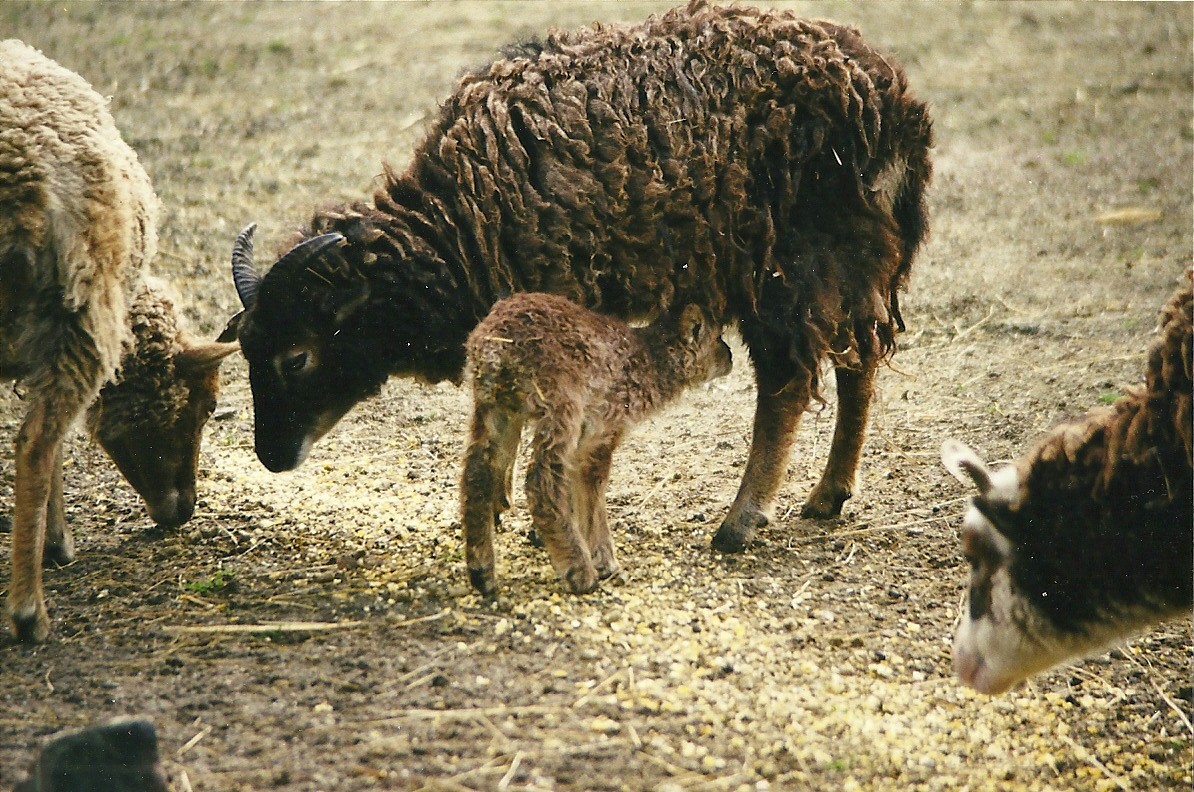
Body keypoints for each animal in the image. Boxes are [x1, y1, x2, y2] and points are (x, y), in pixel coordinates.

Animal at [0, 39, 239, 641]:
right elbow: (53, 445)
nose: (185, 511)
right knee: (34, 444)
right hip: (84, 312)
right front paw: (57, 544)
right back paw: (29, 612)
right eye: (209, 405)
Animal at [228, 1, 933, 553]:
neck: (460, 223)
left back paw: (739, 524)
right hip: (851, 267)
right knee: (859, 363)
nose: (271, 456)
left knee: (786, 384)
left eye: (296, 356)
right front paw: (502, 500)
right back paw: (829, 493)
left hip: (783, 270)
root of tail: (891, 101)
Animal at [461, 292, 733, 596]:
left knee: (476, 474)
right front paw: (604, 562)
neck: (650, 362)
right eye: (717, 336)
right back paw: (580, 573)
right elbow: (593, 491)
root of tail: (495, 346)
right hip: (559, 402)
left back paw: (482, 573)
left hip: (495, 407)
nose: (731, 356)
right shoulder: (602, 431)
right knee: (541, 482)